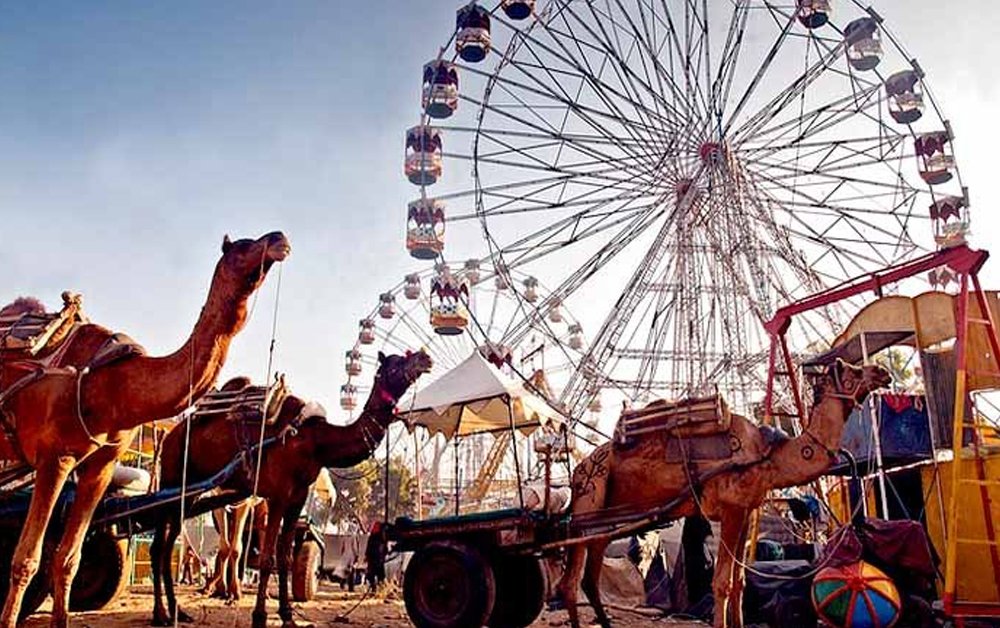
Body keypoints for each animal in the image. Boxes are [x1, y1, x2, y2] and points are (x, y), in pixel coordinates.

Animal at [0, 232, 290, 628]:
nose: (280, 239)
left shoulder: (100, 467)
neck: (114, 386)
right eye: (244, 245)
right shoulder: (54, 458)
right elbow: (26, 558)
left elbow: (68, 559)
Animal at [150, 350, 432, 624]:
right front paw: (260, 616)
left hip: (189, 494)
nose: (425, 358)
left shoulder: (297, 498)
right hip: (174, 480)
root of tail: (169, 437)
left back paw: (176, 612)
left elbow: (284, 557)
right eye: (394, 364)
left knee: (166, 545)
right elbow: (267, 559)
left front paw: (287, 615)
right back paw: (162, 614)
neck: (314, 441)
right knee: (160, 546)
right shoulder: (277, 495)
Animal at [556, 358, 892, 628]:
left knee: (589, 577)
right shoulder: (731, 509)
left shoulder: (747, 511)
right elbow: (720, 582)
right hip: (589, 499)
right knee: (570, 580)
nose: (883, 372)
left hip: (605, 520)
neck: (768, 456)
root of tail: (579, 467)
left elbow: (738, 581)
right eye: (851, 370)